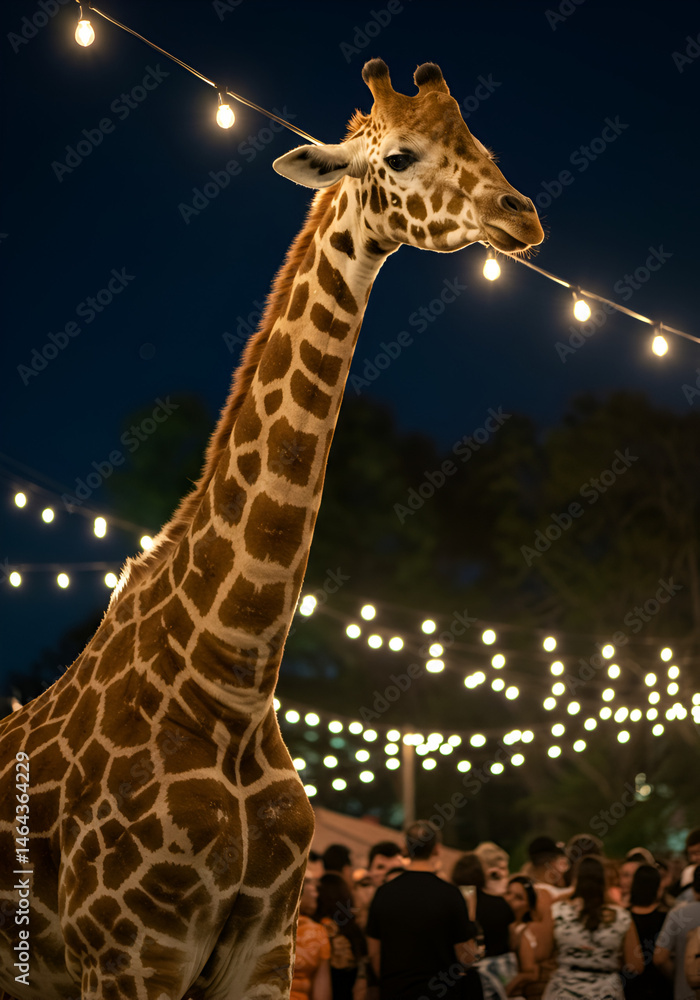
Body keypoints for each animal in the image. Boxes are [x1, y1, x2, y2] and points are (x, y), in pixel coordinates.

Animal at [0, 59, 543, 1000]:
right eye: (400, 157)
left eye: (483, 143)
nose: (524, 215)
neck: (230, 687)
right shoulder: (131, 955)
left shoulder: (264, 950)